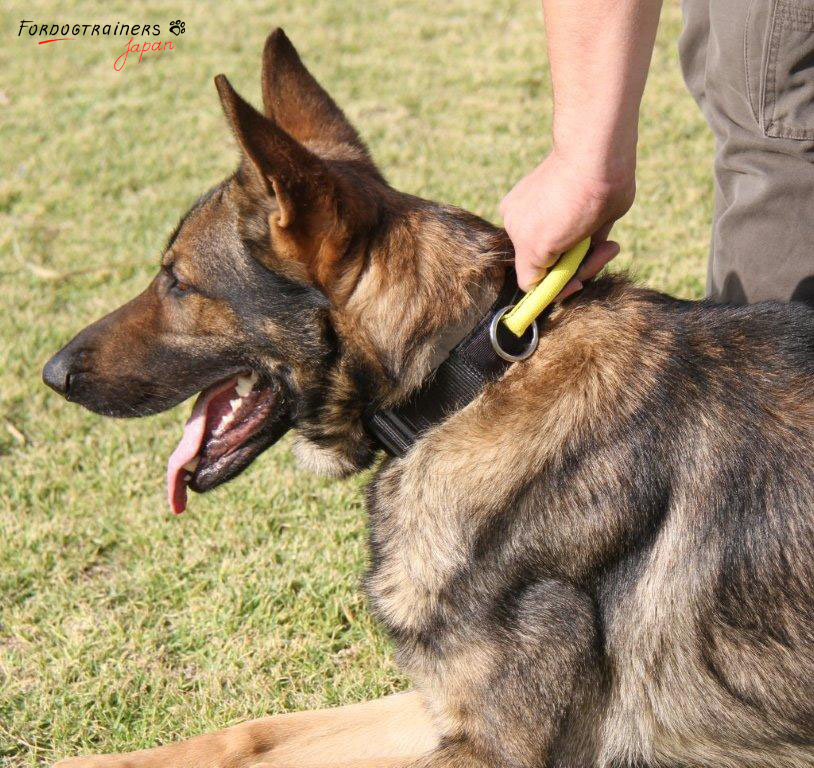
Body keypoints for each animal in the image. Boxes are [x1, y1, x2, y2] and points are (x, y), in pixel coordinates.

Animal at [44, 27, 814, 768]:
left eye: (177, 282)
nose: (51, 373)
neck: (463, 383)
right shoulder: (439, 706)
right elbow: (245, 734)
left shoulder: (495, 748)